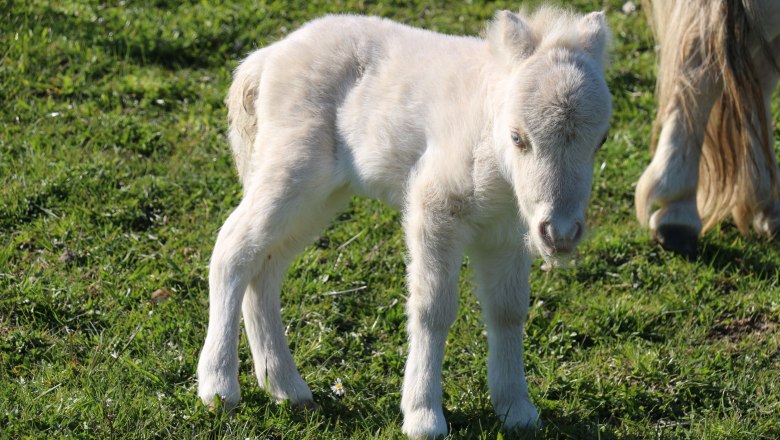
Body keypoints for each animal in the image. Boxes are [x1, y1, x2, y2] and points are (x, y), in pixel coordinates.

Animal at [195, 6, 608, 436]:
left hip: (323, 195)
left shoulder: (506, 233)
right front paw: (423, 417)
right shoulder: (434, 208)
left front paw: (517, 410)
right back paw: (219, 388)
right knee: (232, 249)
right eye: (518, 137)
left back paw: (287, 388)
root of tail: (267, 58)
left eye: (601, 140)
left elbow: (508, 311)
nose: (561, 233)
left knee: (266, 268)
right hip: (292, 168)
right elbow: (432, 308)